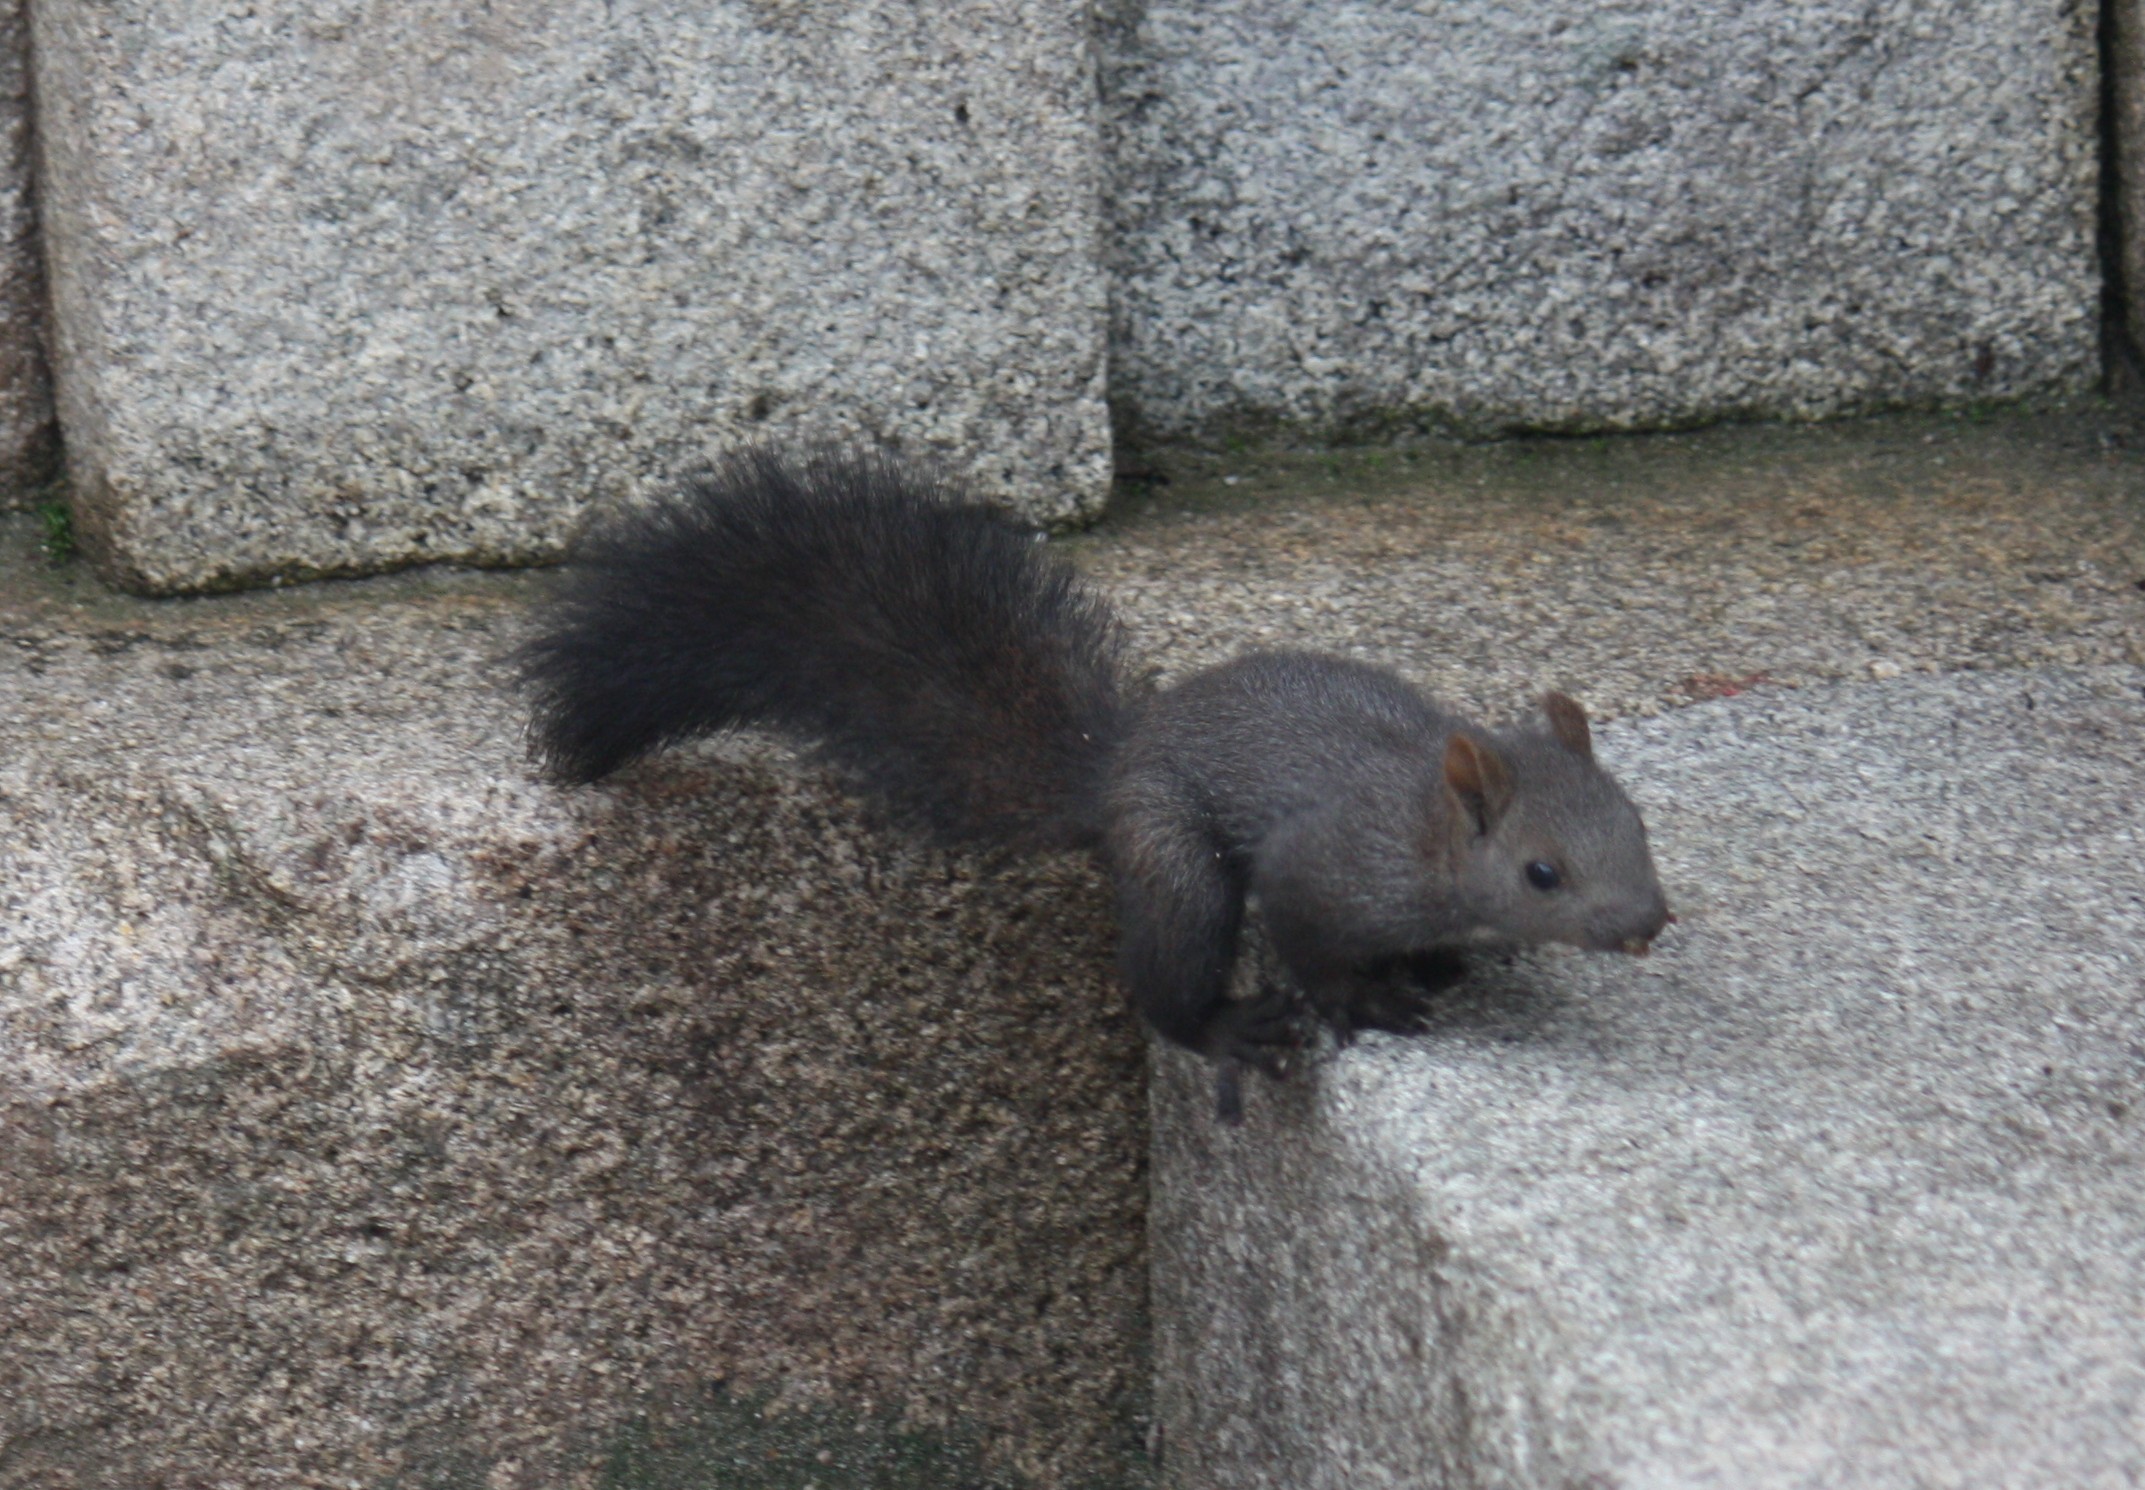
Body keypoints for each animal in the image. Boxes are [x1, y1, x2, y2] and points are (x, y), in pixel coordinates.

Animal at [519, 448, 1673, 1123]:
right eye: (1541, 871)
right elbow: (1308, 941)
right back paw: (1224, 1027)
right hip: (1173, 860)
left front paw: (1451, 962)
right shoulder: (1324, 866)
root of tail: (1115, 761)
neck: (1426, 824)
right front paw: (1361, 1001)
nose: (1648, 926)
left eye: (1638, 825)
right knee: (1166, 980)